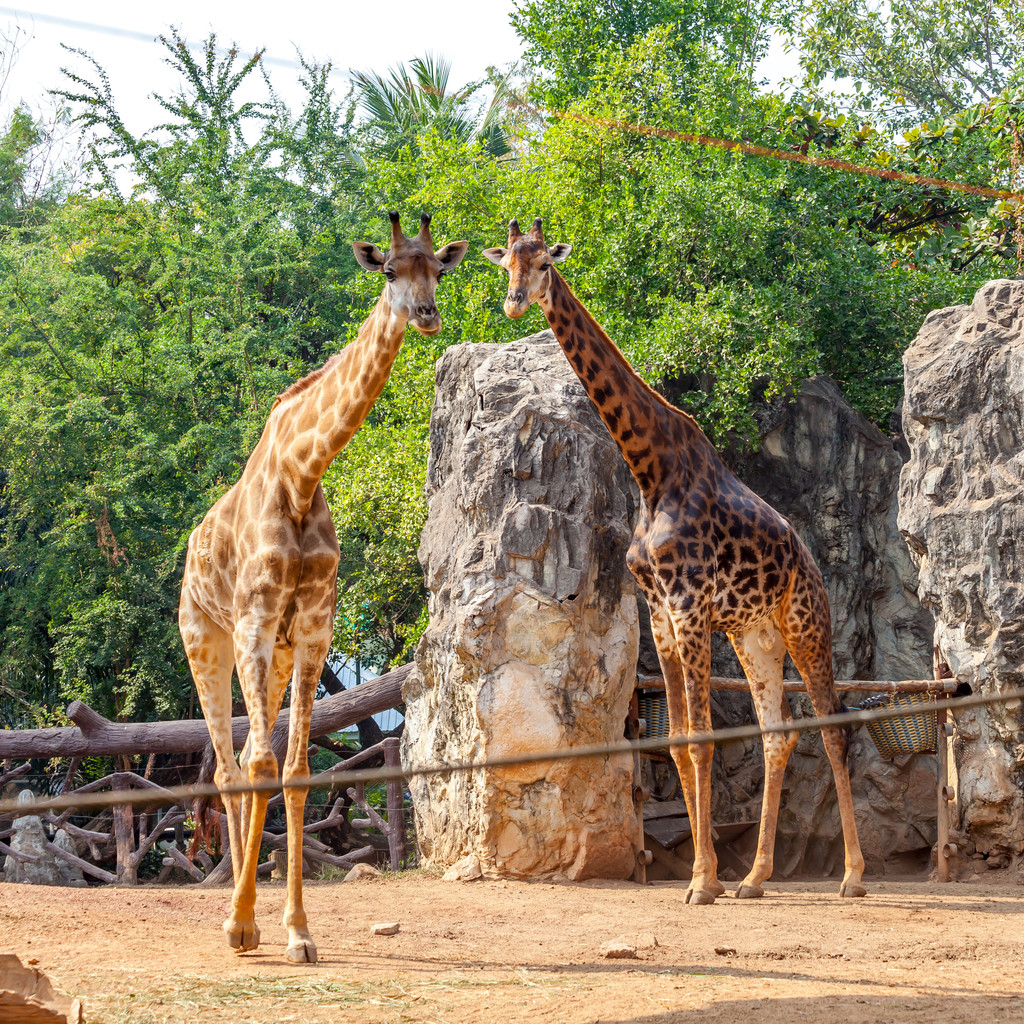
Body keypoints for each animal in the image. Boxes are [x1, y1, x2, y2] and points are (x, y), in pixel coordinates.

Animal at [182, 211, 468, 962]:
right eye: (391, 271)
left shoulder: (312, 628)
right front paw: (244, 924)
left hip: (275, 653)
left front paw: (296, 931)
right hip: (207, 638)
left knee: (245, 758)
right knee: (228, 767)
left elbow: (297, 769)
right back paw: (233, 920)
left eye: (439, 269)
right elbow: (260, 764)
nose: (427, 316)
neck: (304, 471)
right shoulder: (254, 622)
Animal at [483, 218, 868, 905]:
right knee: (778, 732)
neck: (649, 468)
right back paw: (756, 878)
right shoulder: (661, 614)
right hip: (754, 634)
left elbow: (705, 744)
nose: (515, 304)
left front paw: (702, 881)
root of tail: (811, 563)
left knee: (833, 725)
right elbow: (683, 744)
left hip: (805, 622)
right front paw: (706, 877)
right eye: (506, 265)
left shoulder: (689, 607)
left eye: (545, 263)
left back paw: (851, 875)